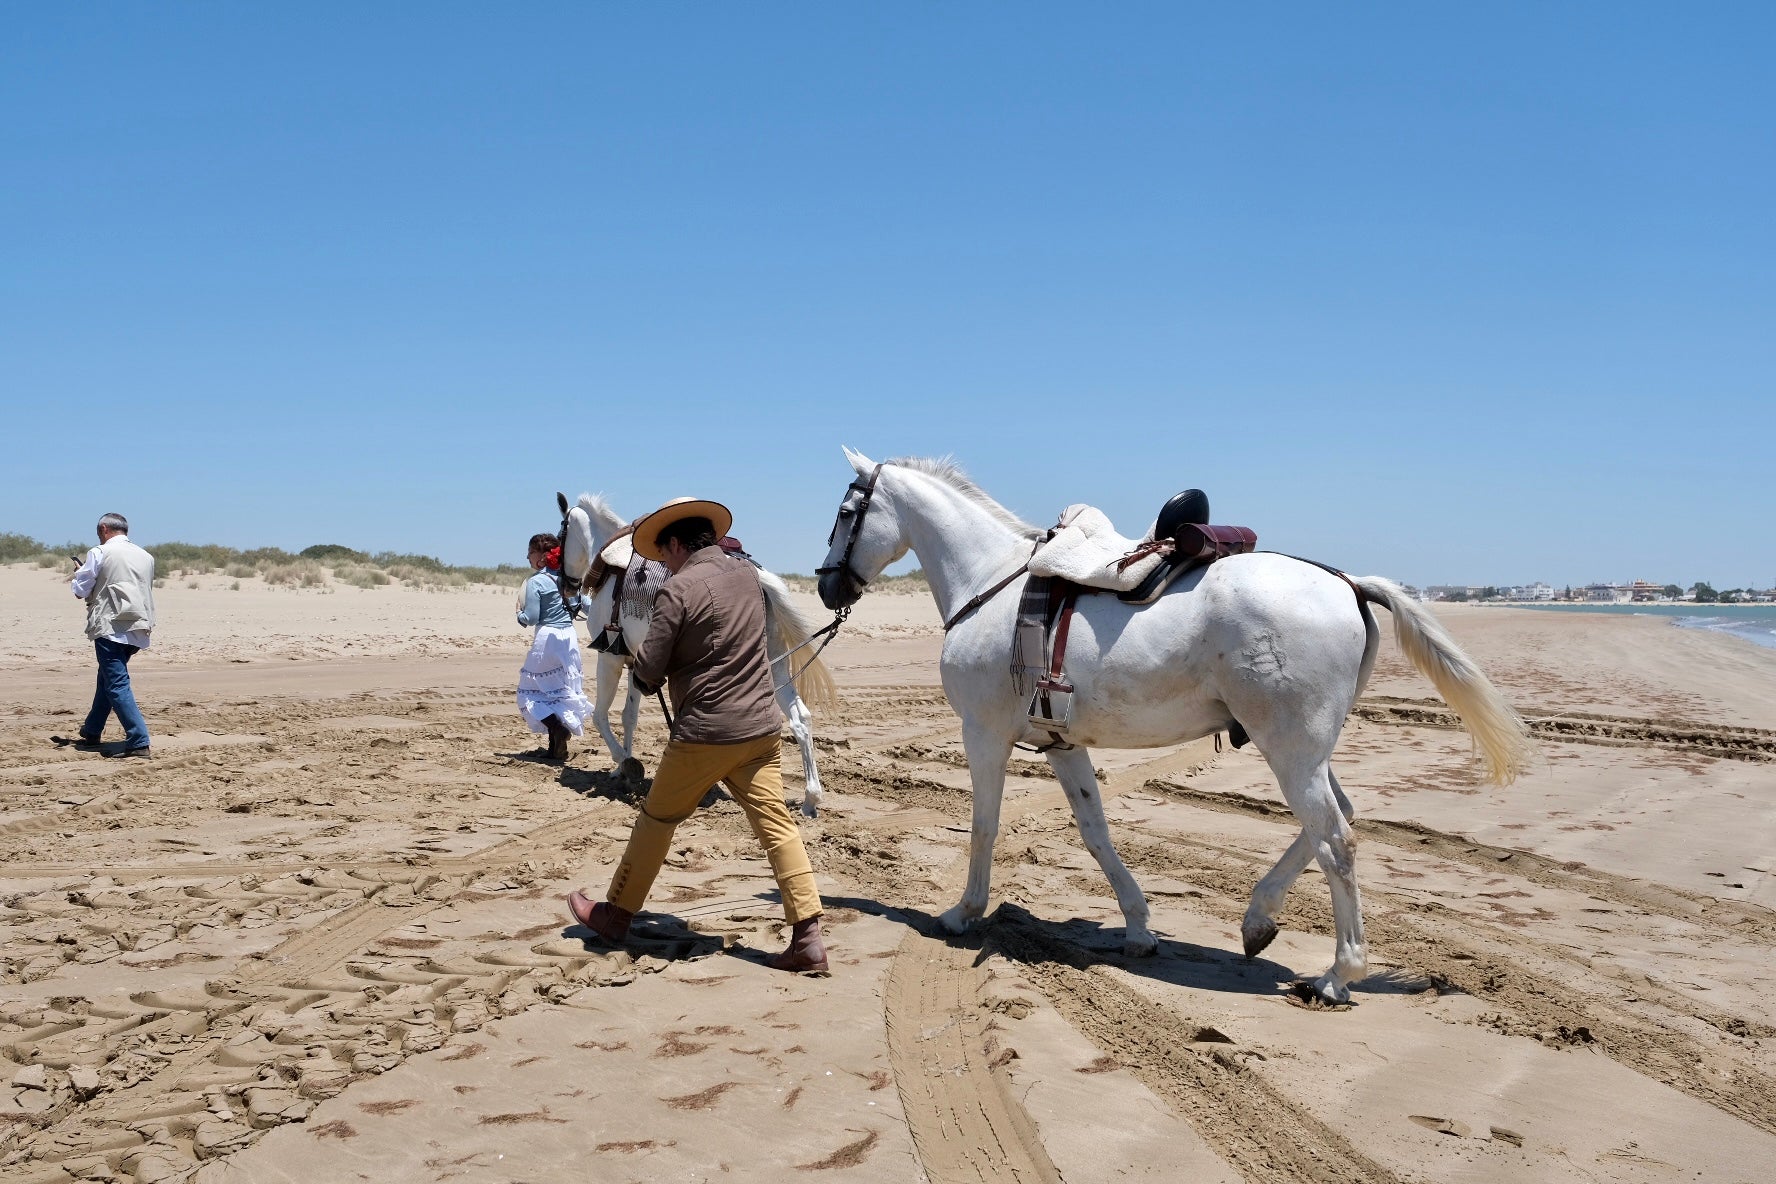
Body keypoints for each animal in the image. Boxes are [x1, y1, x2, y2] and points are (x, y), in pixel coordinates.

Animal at [554, 489, 838, 816]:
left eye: (559, 538)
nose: (565, 585)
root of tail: (760, 579)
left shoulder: (609, 657)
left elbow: (599, 715)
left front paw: (625, 763)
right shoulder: (635, 661)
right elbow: (629, 716)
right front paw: (621, 767)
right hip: (772, 665)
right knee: (799, 717)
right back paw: (810, 797)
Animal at [813, 449, 1534, 1008]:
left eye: (846, 513)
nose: (826, 587)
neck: (992, 582)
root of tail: (1348, 583)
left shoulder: (983, 737)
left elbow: (984, 827)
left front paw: (964, 913)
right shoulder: (1062, 747)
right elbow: (1096, 833)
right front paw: (1137, 927)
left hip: (1290, 750)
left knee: (1337, 840)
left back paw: (1338, 975)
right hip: (1306, 751)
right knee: (1332, 823)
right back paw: (1259, 918)